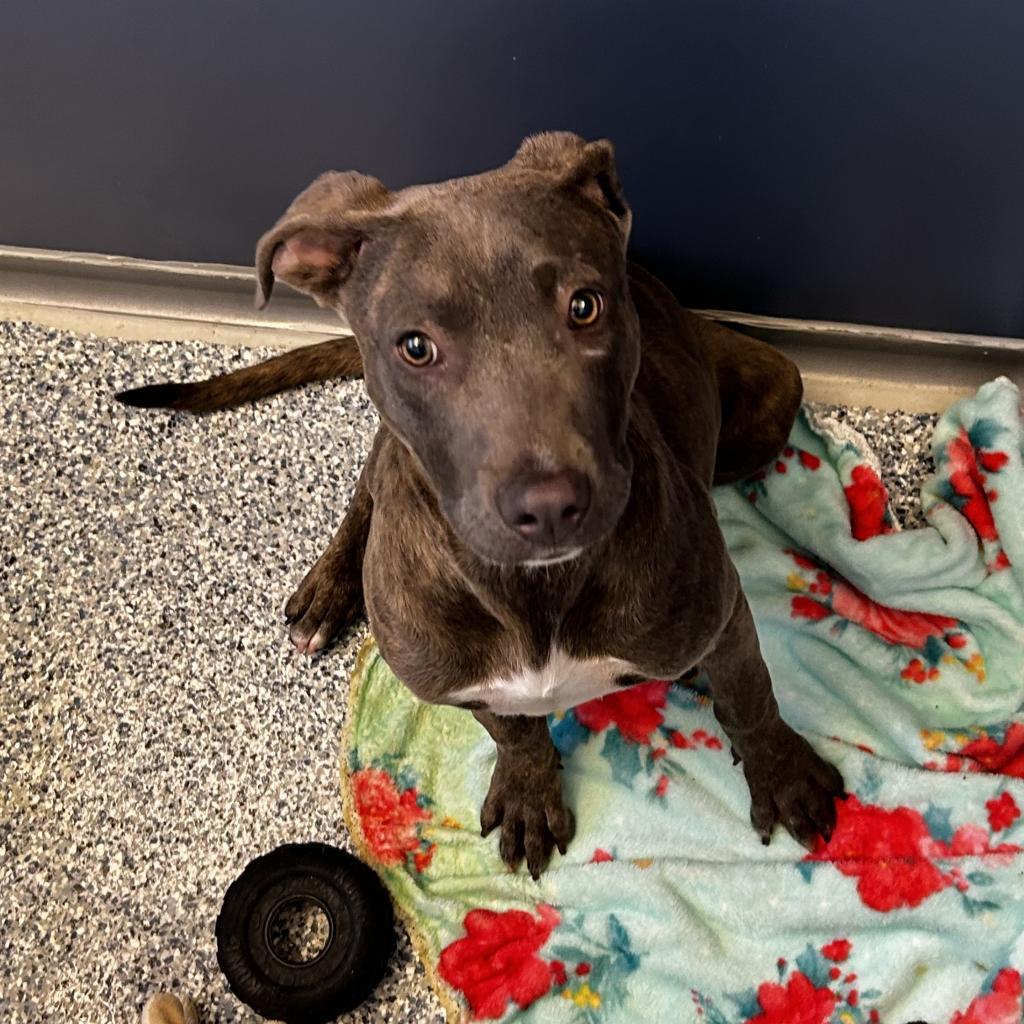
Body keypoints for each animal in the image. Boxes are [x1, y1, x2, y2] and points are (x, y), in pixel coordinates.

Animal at [119, 132, 843, 876]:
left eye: (584, 306)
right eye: (415, 346)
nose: (550, 506)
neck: (533, 591)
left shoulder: (720, 619)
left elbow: (751, 697)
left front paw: (784, 776)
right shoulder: (459, 682)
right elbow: (514, 731)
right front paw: (528, 791)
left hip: (773, 396)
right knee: (368, 487)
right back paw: (328, 589)